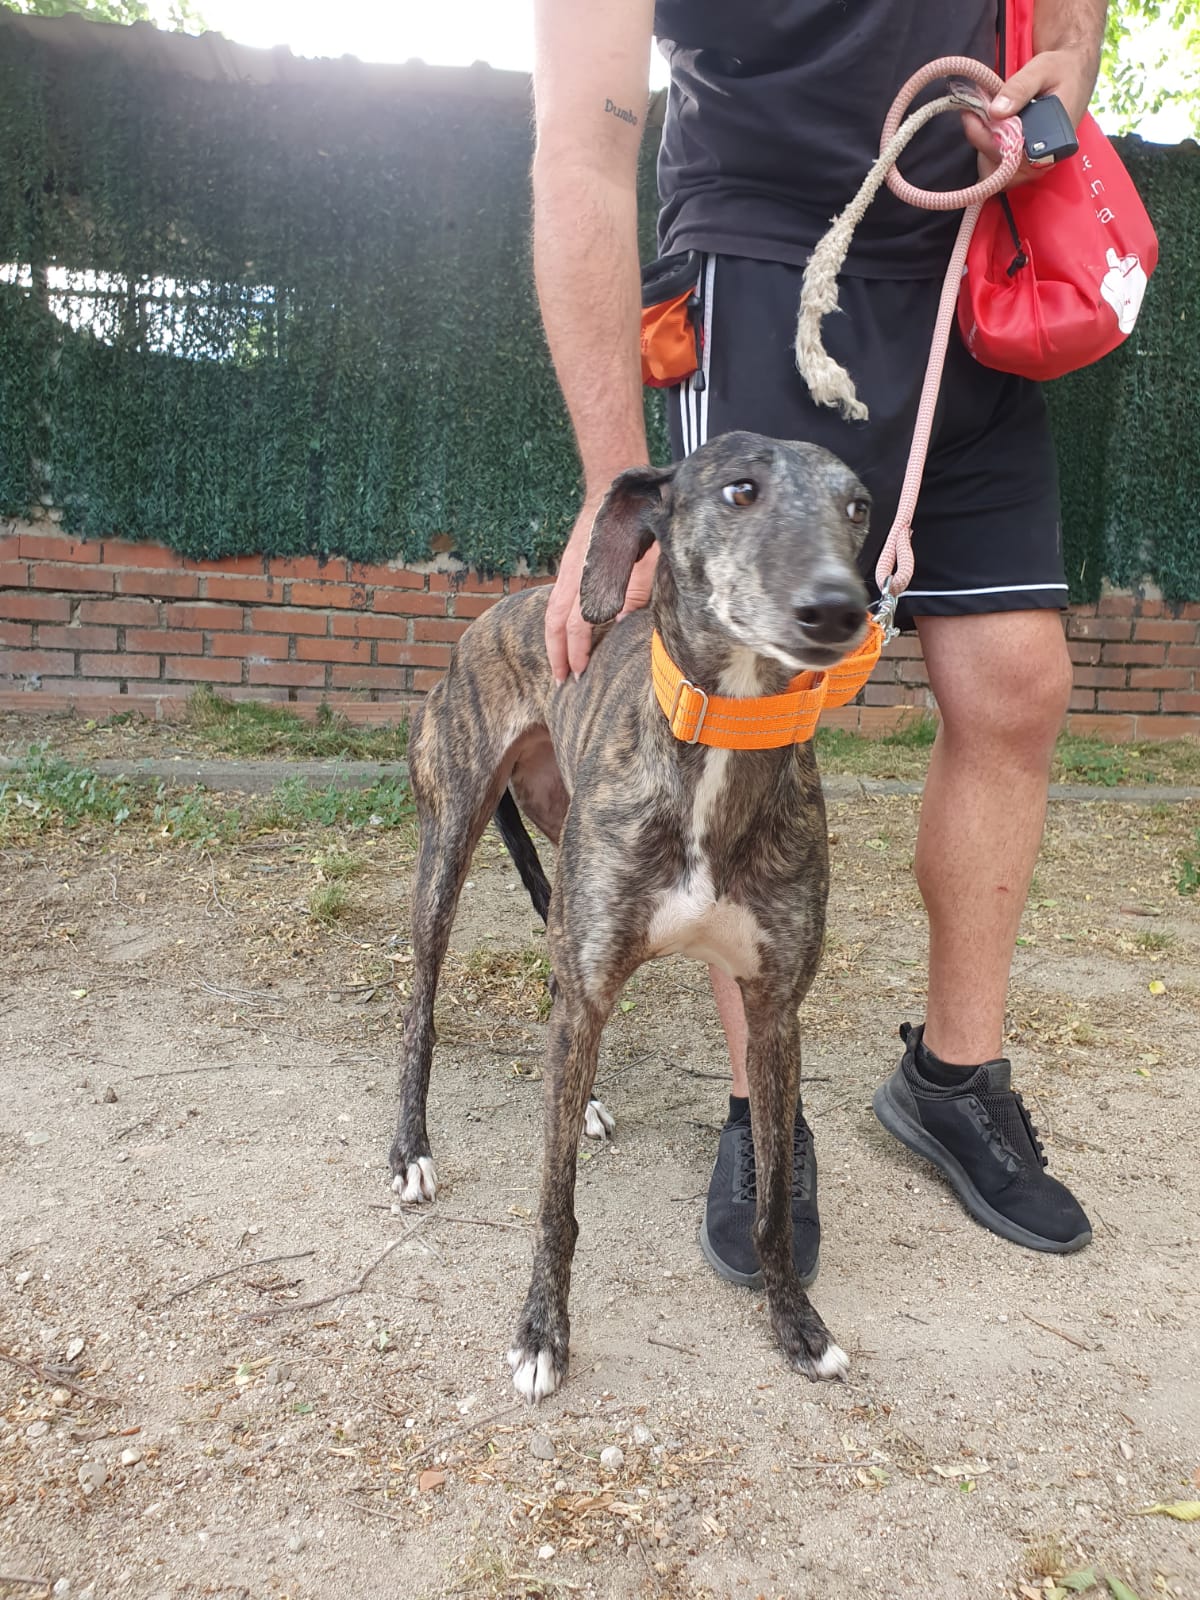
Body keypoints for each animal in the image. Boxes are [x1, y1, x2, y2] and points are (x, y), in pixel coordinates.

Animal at [388, 430, 872, 1401]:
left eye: (861, 508)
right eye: (740, 490)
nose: (841, 609)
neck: (723, 739)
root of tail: (498, 612)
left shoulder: (774, 1009)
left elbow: (772, 1205)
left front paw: (797, 1324)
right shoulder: (595, 972)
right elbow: (555, 1201)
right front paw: (542, 1333)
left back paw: (585, 1103)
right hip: (448, 846)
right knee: (422, 1002)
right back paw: (410, 1150)